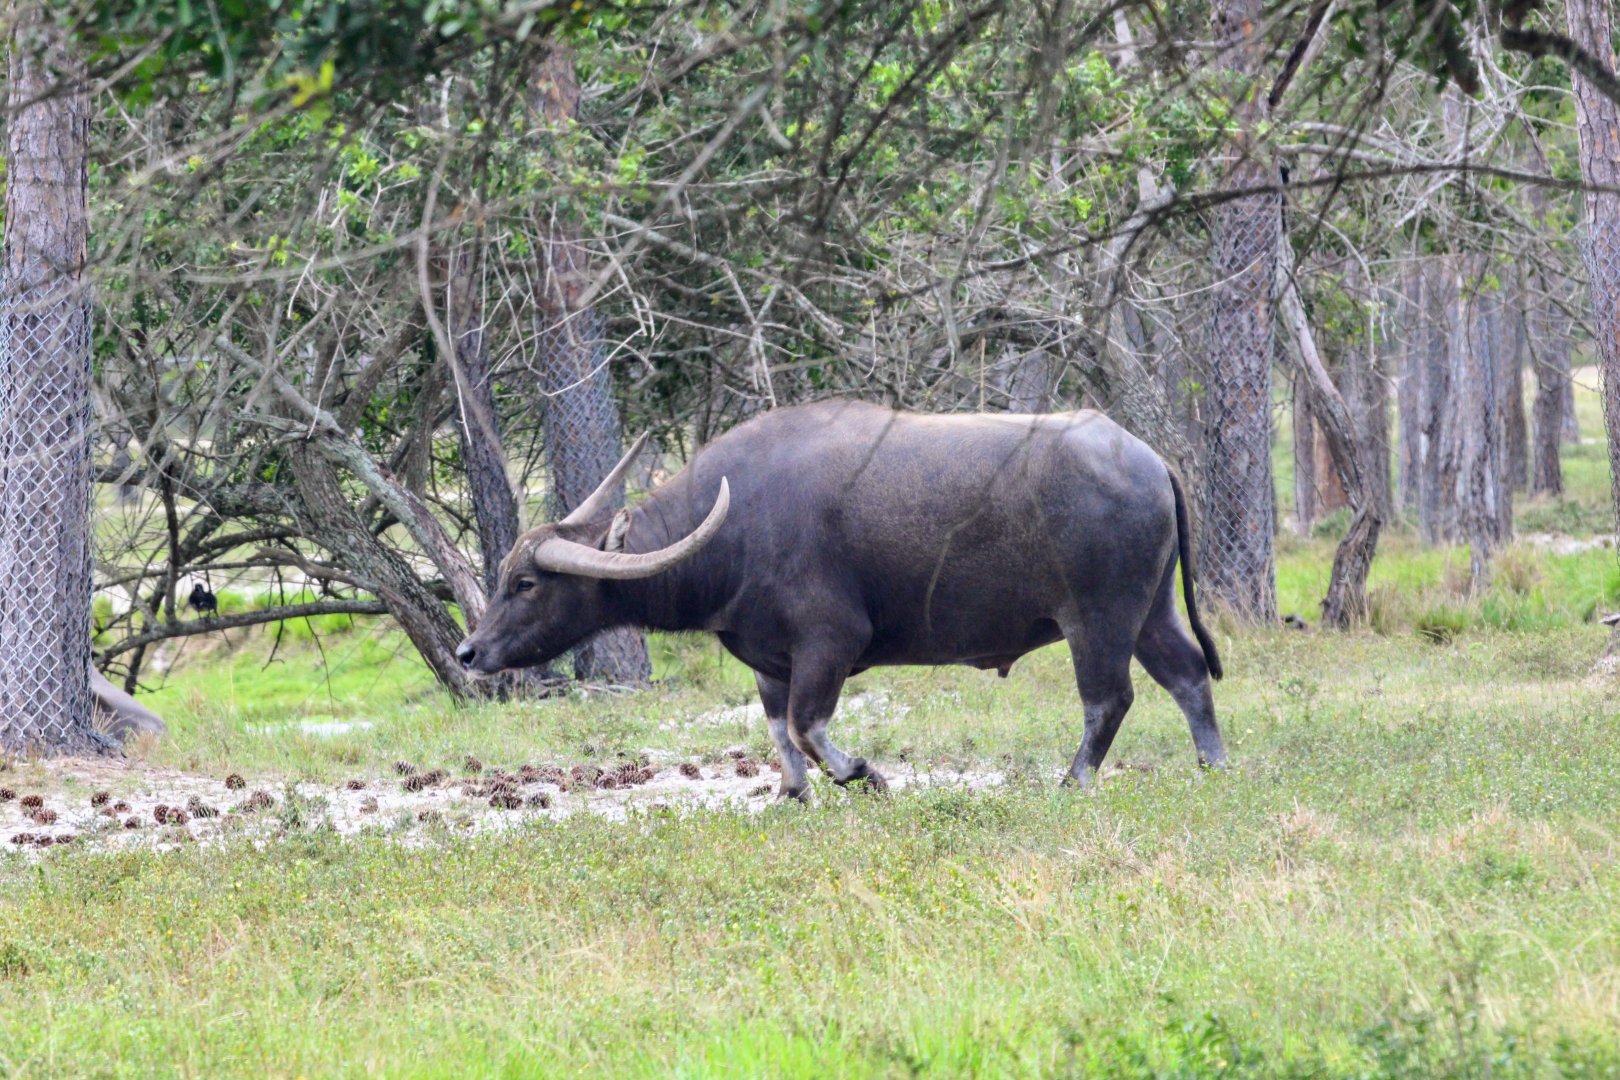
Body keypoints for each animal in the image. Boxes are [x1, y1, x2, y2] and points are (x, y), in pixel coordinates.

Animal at [456, 400, 1225, 798]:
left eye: (525, 583)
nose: (468, 651)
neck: (735, 528)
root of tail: (1149, 458)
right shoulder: (770, 660)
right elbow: (777, 730)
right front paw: (792, 793)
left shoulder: (830, 641)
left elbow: (807, 724)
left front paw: (864, 773)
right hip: (1150, 611)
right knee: (1188, 675)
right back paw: (1213, 765)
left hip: (1097, 617)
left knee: (1108, 699)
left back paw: (1073, 779)